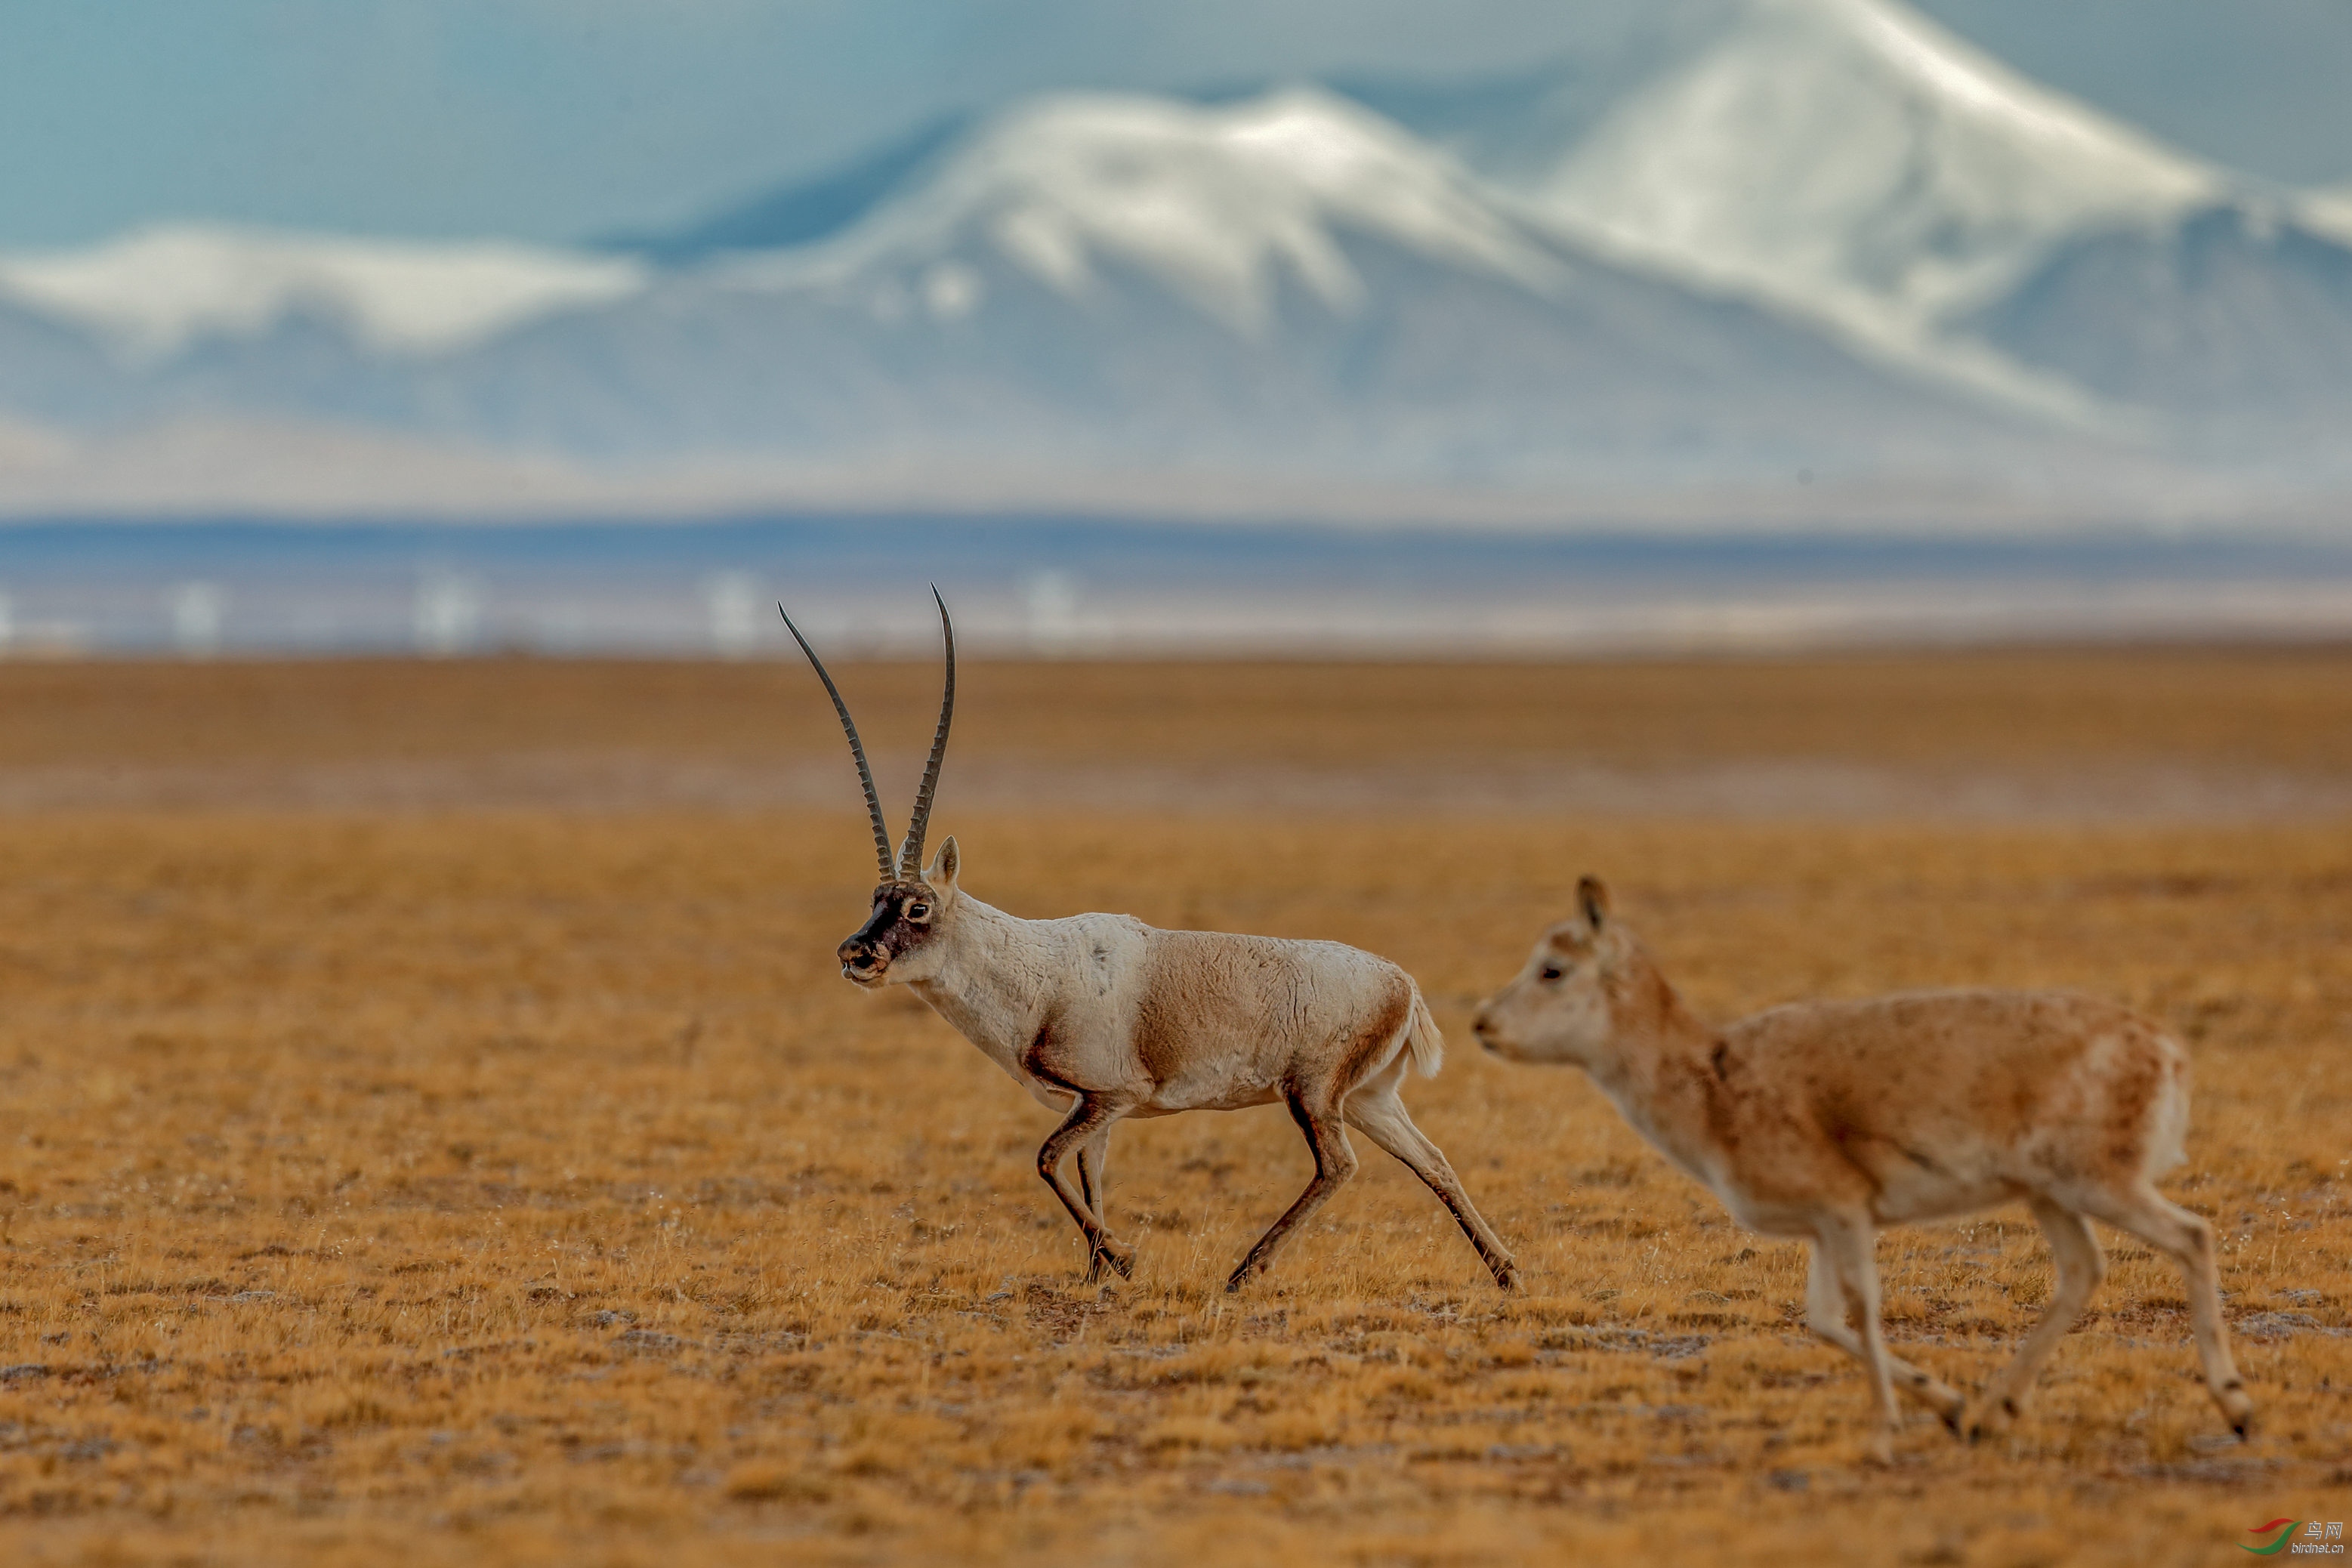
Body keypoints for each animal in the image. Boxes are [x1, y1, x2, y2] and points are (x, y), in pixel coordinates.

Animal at [786, 594, 1523, 1298]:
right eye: (873, 901)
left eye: (918, 906)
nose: (856, 954)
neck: (1036, 969)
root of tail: (1404, 984)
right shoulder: (1096, 1109)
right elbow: (1088, 1170)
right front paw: (1094, 1273)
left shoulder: (1108, 1096)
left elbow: (1047, 1159)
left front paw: (1125, 1257)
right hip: (1369, 1099)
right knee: (1432, 1161)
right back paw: (1507, 1272)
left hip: (1314, 1095)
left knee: (1339, 1166)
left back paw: (1245, 1272)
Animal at [1468, 884, 2258, 1457]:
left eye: (1553, 968)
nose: (1481, 1023)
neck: (1715, 1080)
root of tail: (2165, 1049)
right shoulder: (1825, 1227)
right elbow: (1822, 1321)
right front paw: (1945, 1403)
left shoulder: (1845, 1214)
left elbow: (1861, 1308)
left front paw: (1884, 1433)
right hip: (2050, 1196)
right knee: (2083, 1271)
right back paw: (1991, 1410)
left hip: (2100, 1184)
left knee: (2191, 1236)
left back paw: (2237, 1407)